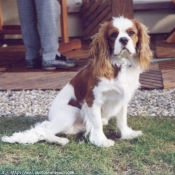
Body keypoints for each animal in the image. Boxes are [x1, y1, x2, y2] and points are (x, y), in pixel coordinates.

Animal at [1, 16, 152, 148]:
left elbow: (122, 120)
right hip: (71, 112)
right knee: (43, 130)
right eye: (113, 35)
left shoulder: (123, 99)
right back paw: (59, 140)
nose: (124, 39)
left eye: (131, 33)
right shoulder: (93, 100)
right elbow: (97, 124)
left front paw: (126, 134)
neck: (120, 65)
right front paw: (101, 141)